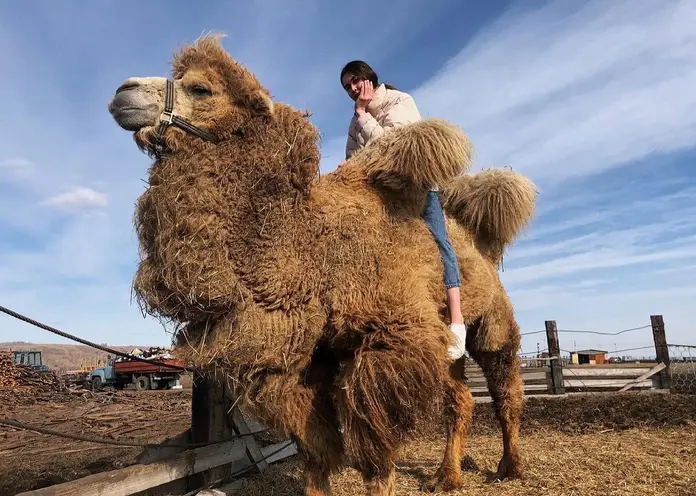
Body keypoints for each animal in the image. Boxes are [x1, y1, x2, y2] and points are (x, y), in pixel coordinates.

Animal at [107, 33, 540, 494]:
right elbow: (315, 449)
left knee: (505, 389)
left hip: (492, 321)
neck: (314, 255)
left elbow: (375, 456)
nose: (123, 92)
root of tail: (484, 243)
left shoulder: (391, 342)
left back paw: (509, 466)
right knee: (460, 400)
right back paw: (446, 476)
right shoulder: (305, 362)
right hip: (447, 346)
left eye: (201, 88)